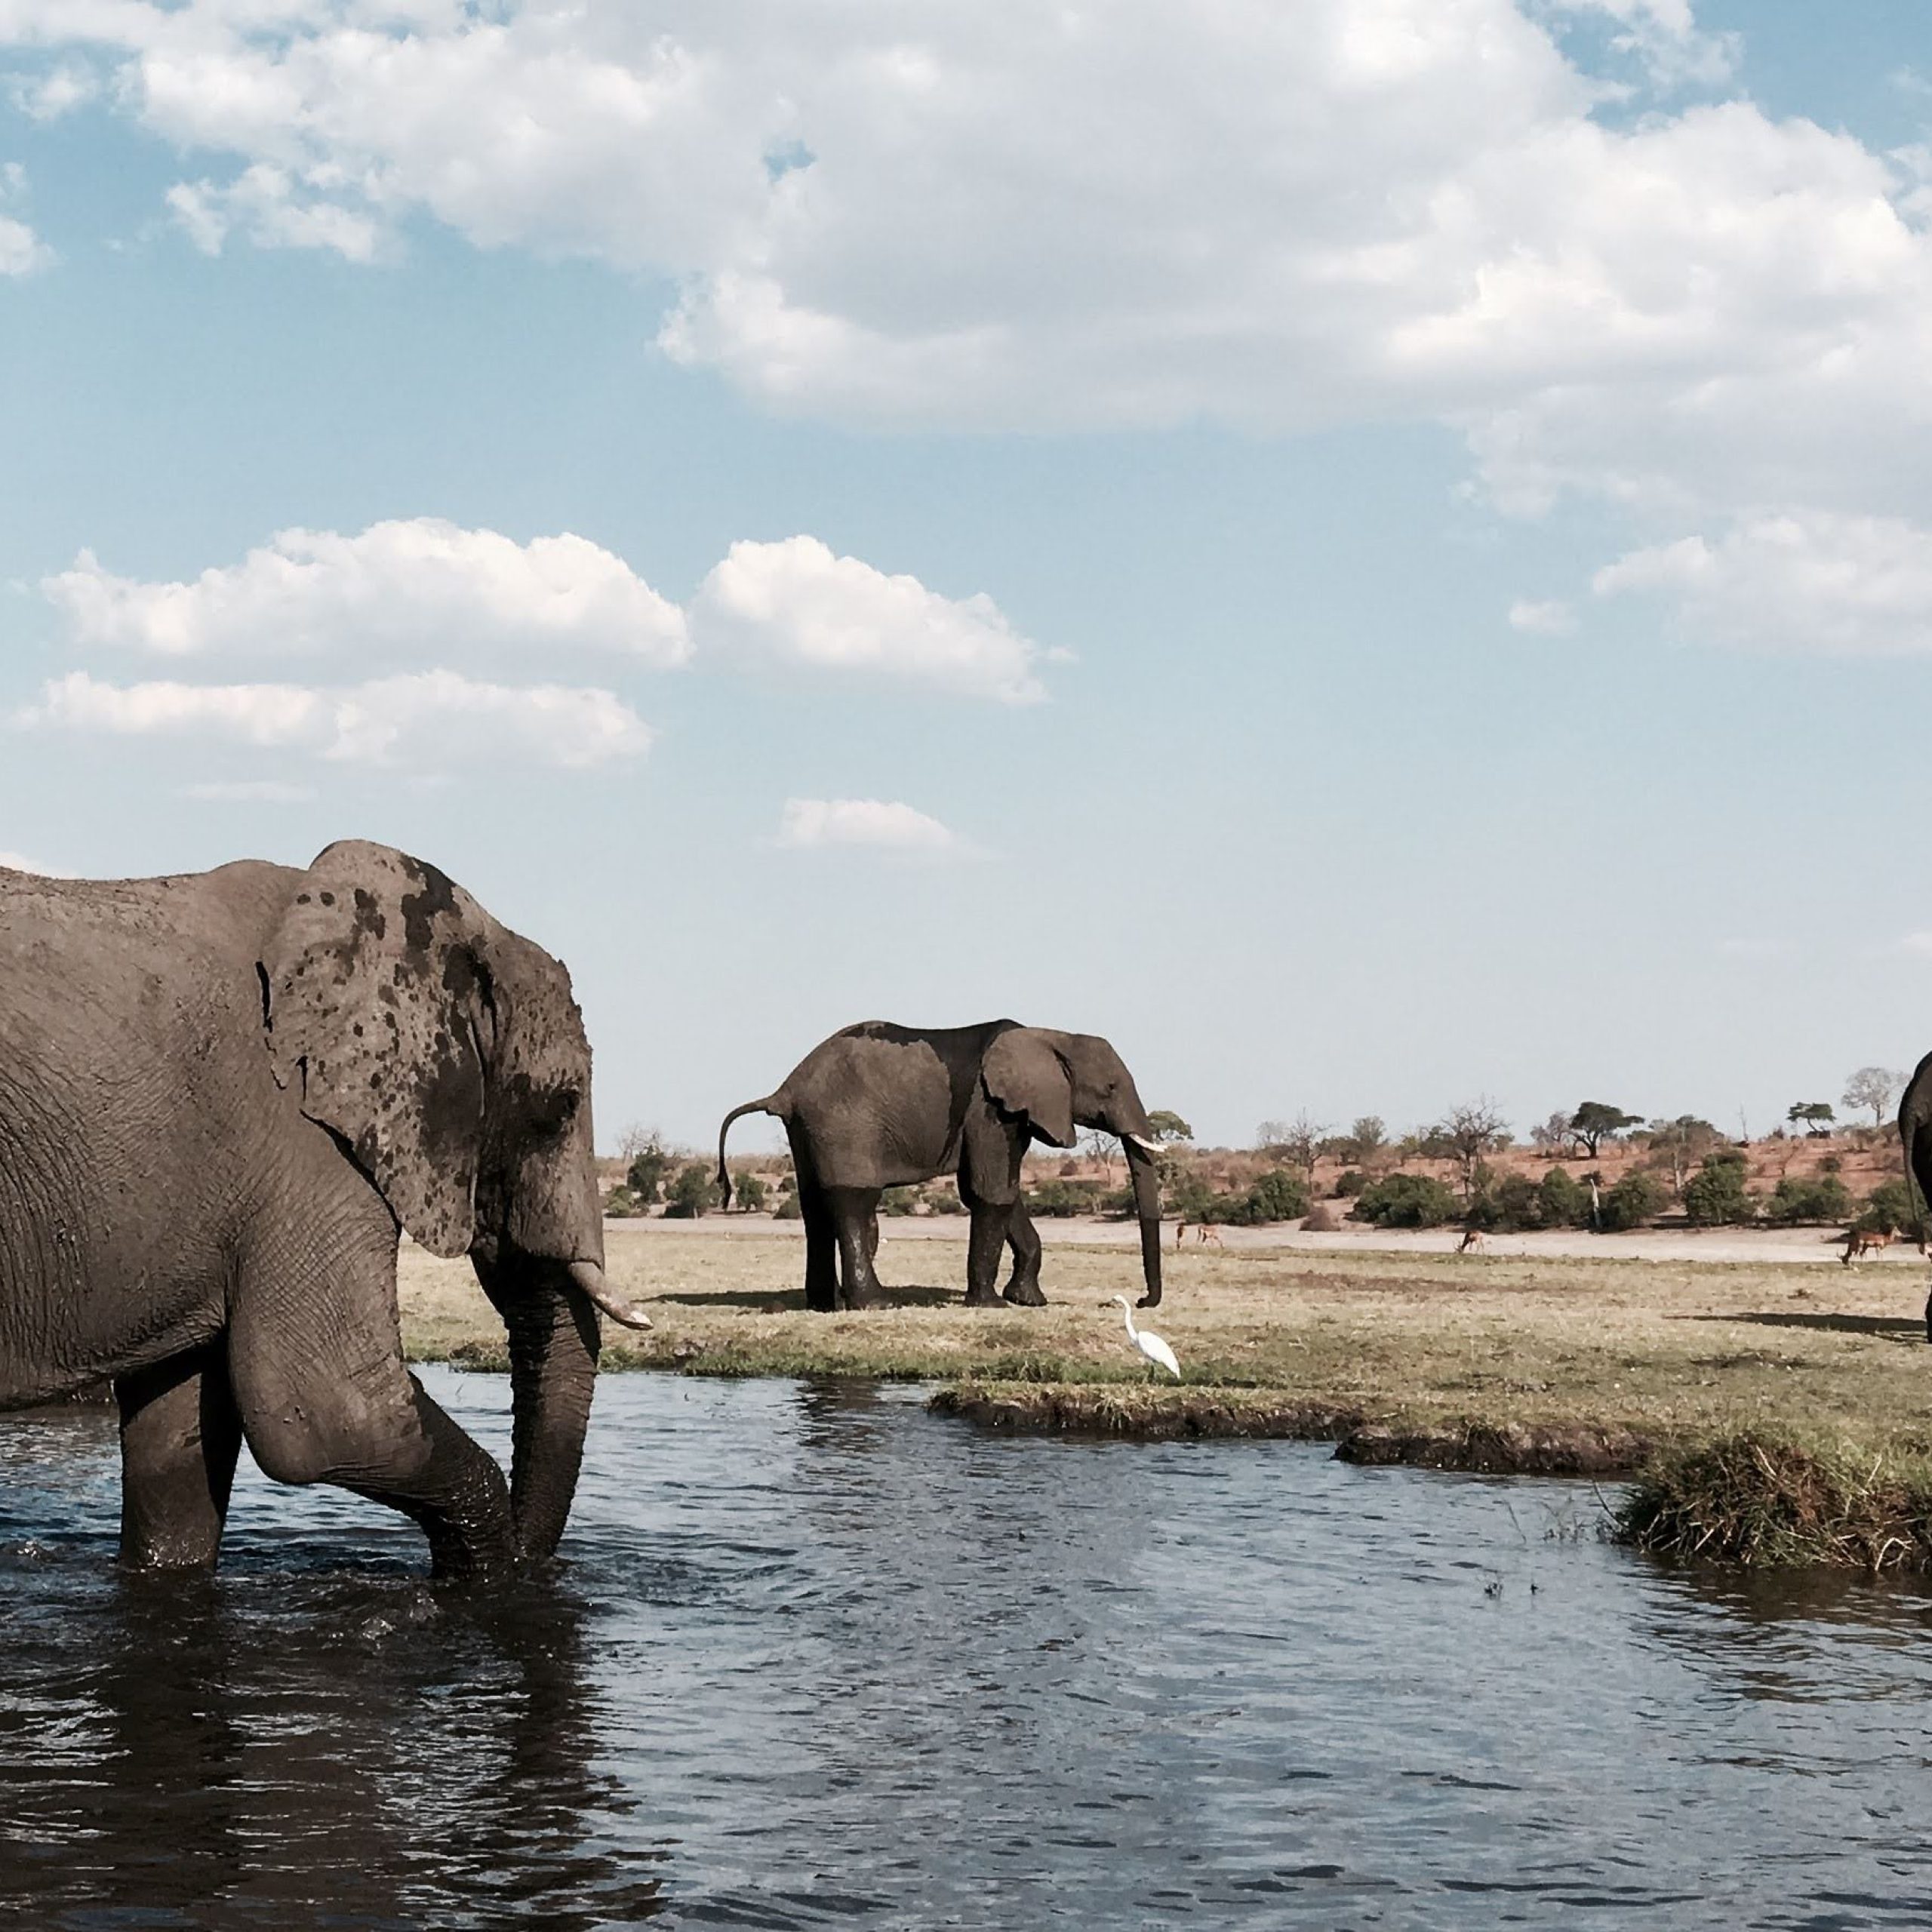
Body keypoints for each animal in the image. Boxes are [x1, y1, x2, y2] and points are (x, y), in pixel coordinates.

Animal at [0, 840, 651, 1579]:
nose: (538, 1569)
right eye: (561, 1107)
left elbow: (178, 1445)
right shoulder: (305, 1143)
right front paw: (491, 1580)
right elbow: (331, 1412)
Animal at [716, 1020, 1166, 1312]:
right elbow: (991, 1191)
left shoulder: (1010, 1114)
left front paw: (1029, 1301)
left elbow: (996, 1191)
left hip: (808, 1130)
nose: (1141, 1300)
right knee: (853, 1202)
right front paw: (990, 1306)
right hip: (843, 1125)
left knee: (815, 1208)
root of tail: (785, 1090)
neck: (1050, 1035)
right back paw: (876, 1304)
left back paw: (824, 1305)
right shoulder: (991, 1108)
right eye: (1110, 1088)